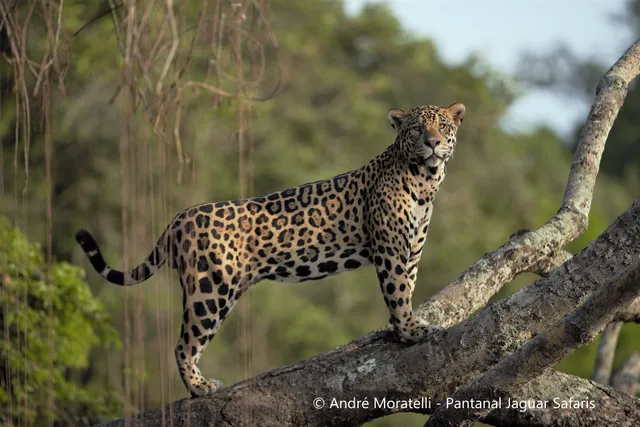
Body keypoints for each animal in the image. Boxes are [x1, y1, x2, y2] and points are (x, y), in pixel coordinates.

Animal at [75, 102, 466, 397]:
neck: (425, 179)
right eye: (415, 129)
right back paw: (200, 388)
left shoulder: (411, 250)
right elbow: (397, 291)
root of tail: (180, 218)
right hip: (210, 289)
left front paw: (402, 327)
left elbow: (407, 287)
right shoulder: (390, 250)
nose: (432, 143)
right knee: (183, 343)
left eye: (442, 125)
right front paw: (410, 331)